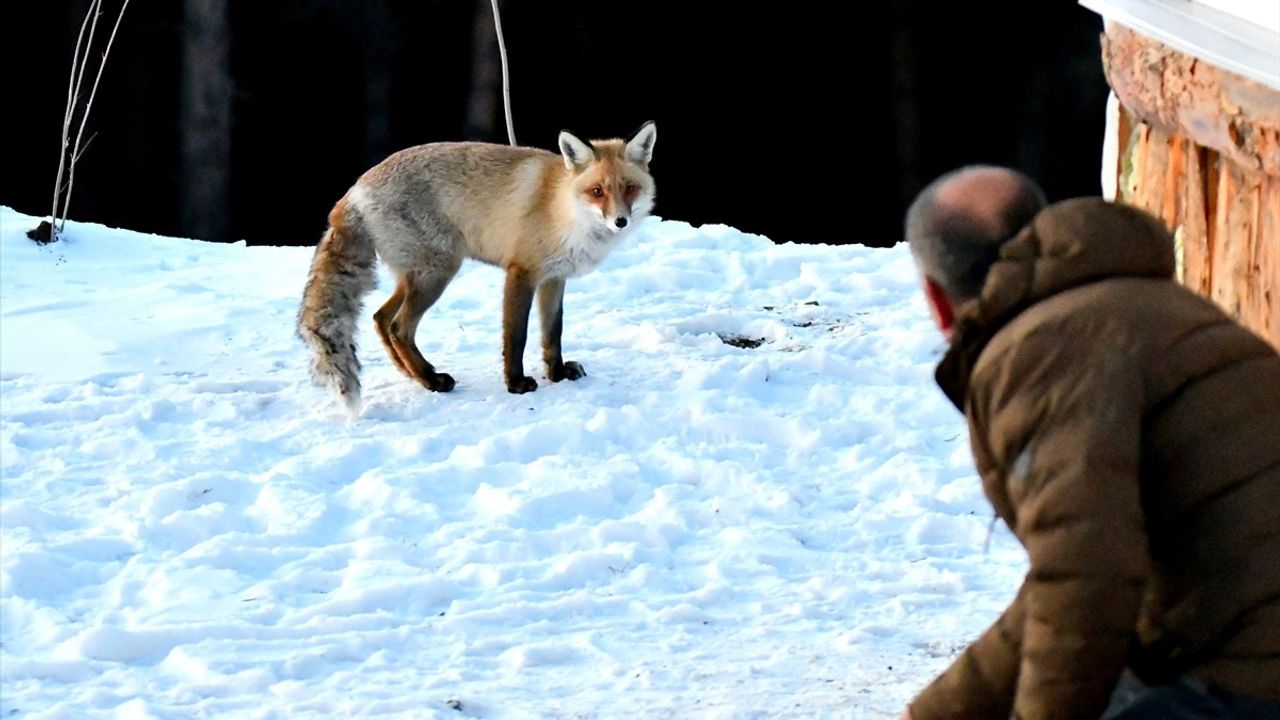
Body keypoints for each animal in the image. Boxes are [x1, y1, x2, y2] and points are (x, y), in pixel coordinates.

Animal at [298, 121, 655, 412]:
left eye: (629, 188)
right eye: (597, 191)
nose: (620, 221)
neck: (563, 209)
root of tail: (354, 190)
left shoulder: (554, 278)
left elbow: (552, 334)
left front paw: (557, 374)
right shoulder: (521, 272)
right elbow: (517, 336)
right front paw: (516, 384)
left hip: (416, 277)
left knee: (381, 318)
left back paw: (415, 374)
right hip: (437, 273)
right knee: (399, 326)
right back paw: (430, 380)